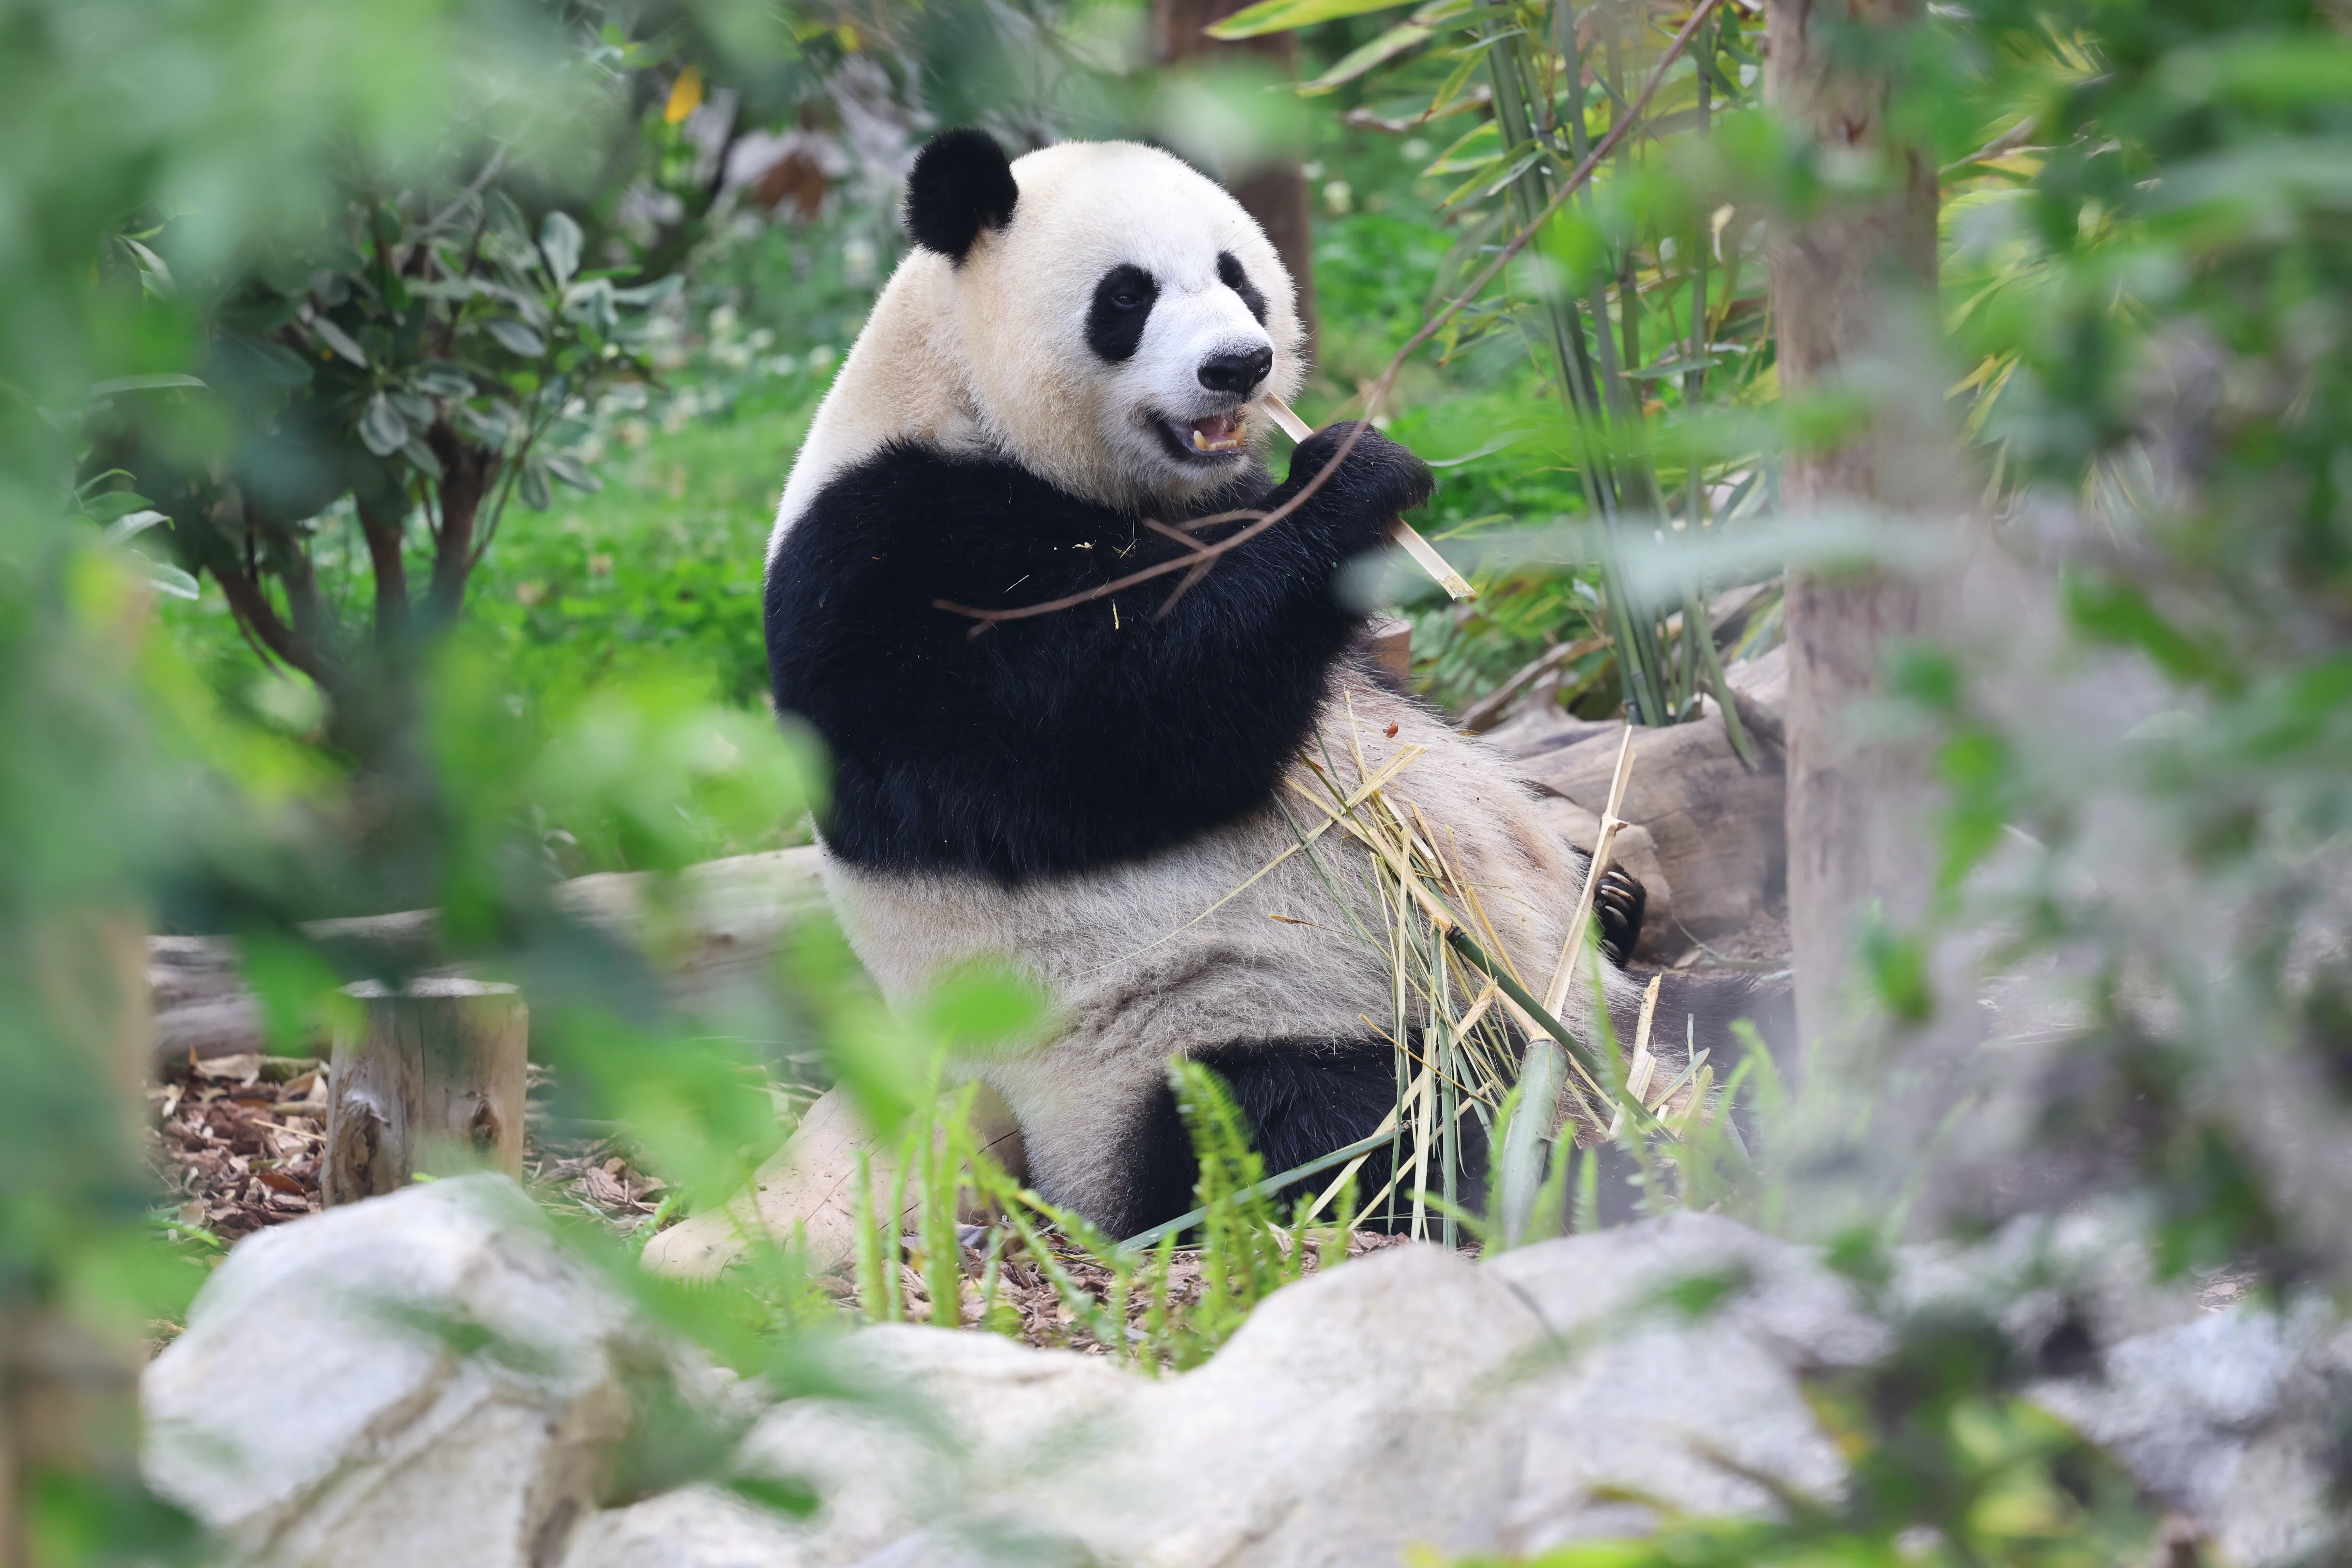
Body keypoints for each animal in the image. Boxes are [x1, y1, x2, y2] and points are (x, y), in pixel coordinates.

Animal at [763, 128, 1769, 1239]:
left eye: (1235, 274)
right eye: (1125, 296)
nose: (1238, 365)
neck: (960, 400)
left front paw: (1610, 879)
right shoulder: (886, 565)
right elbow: (1116, 724)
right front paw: (1350, 476)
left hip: (1607, 1001)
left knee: (1742, 1019)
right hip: (1205, 1036)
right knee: (1357, 1125)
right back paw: (1594, 1167)